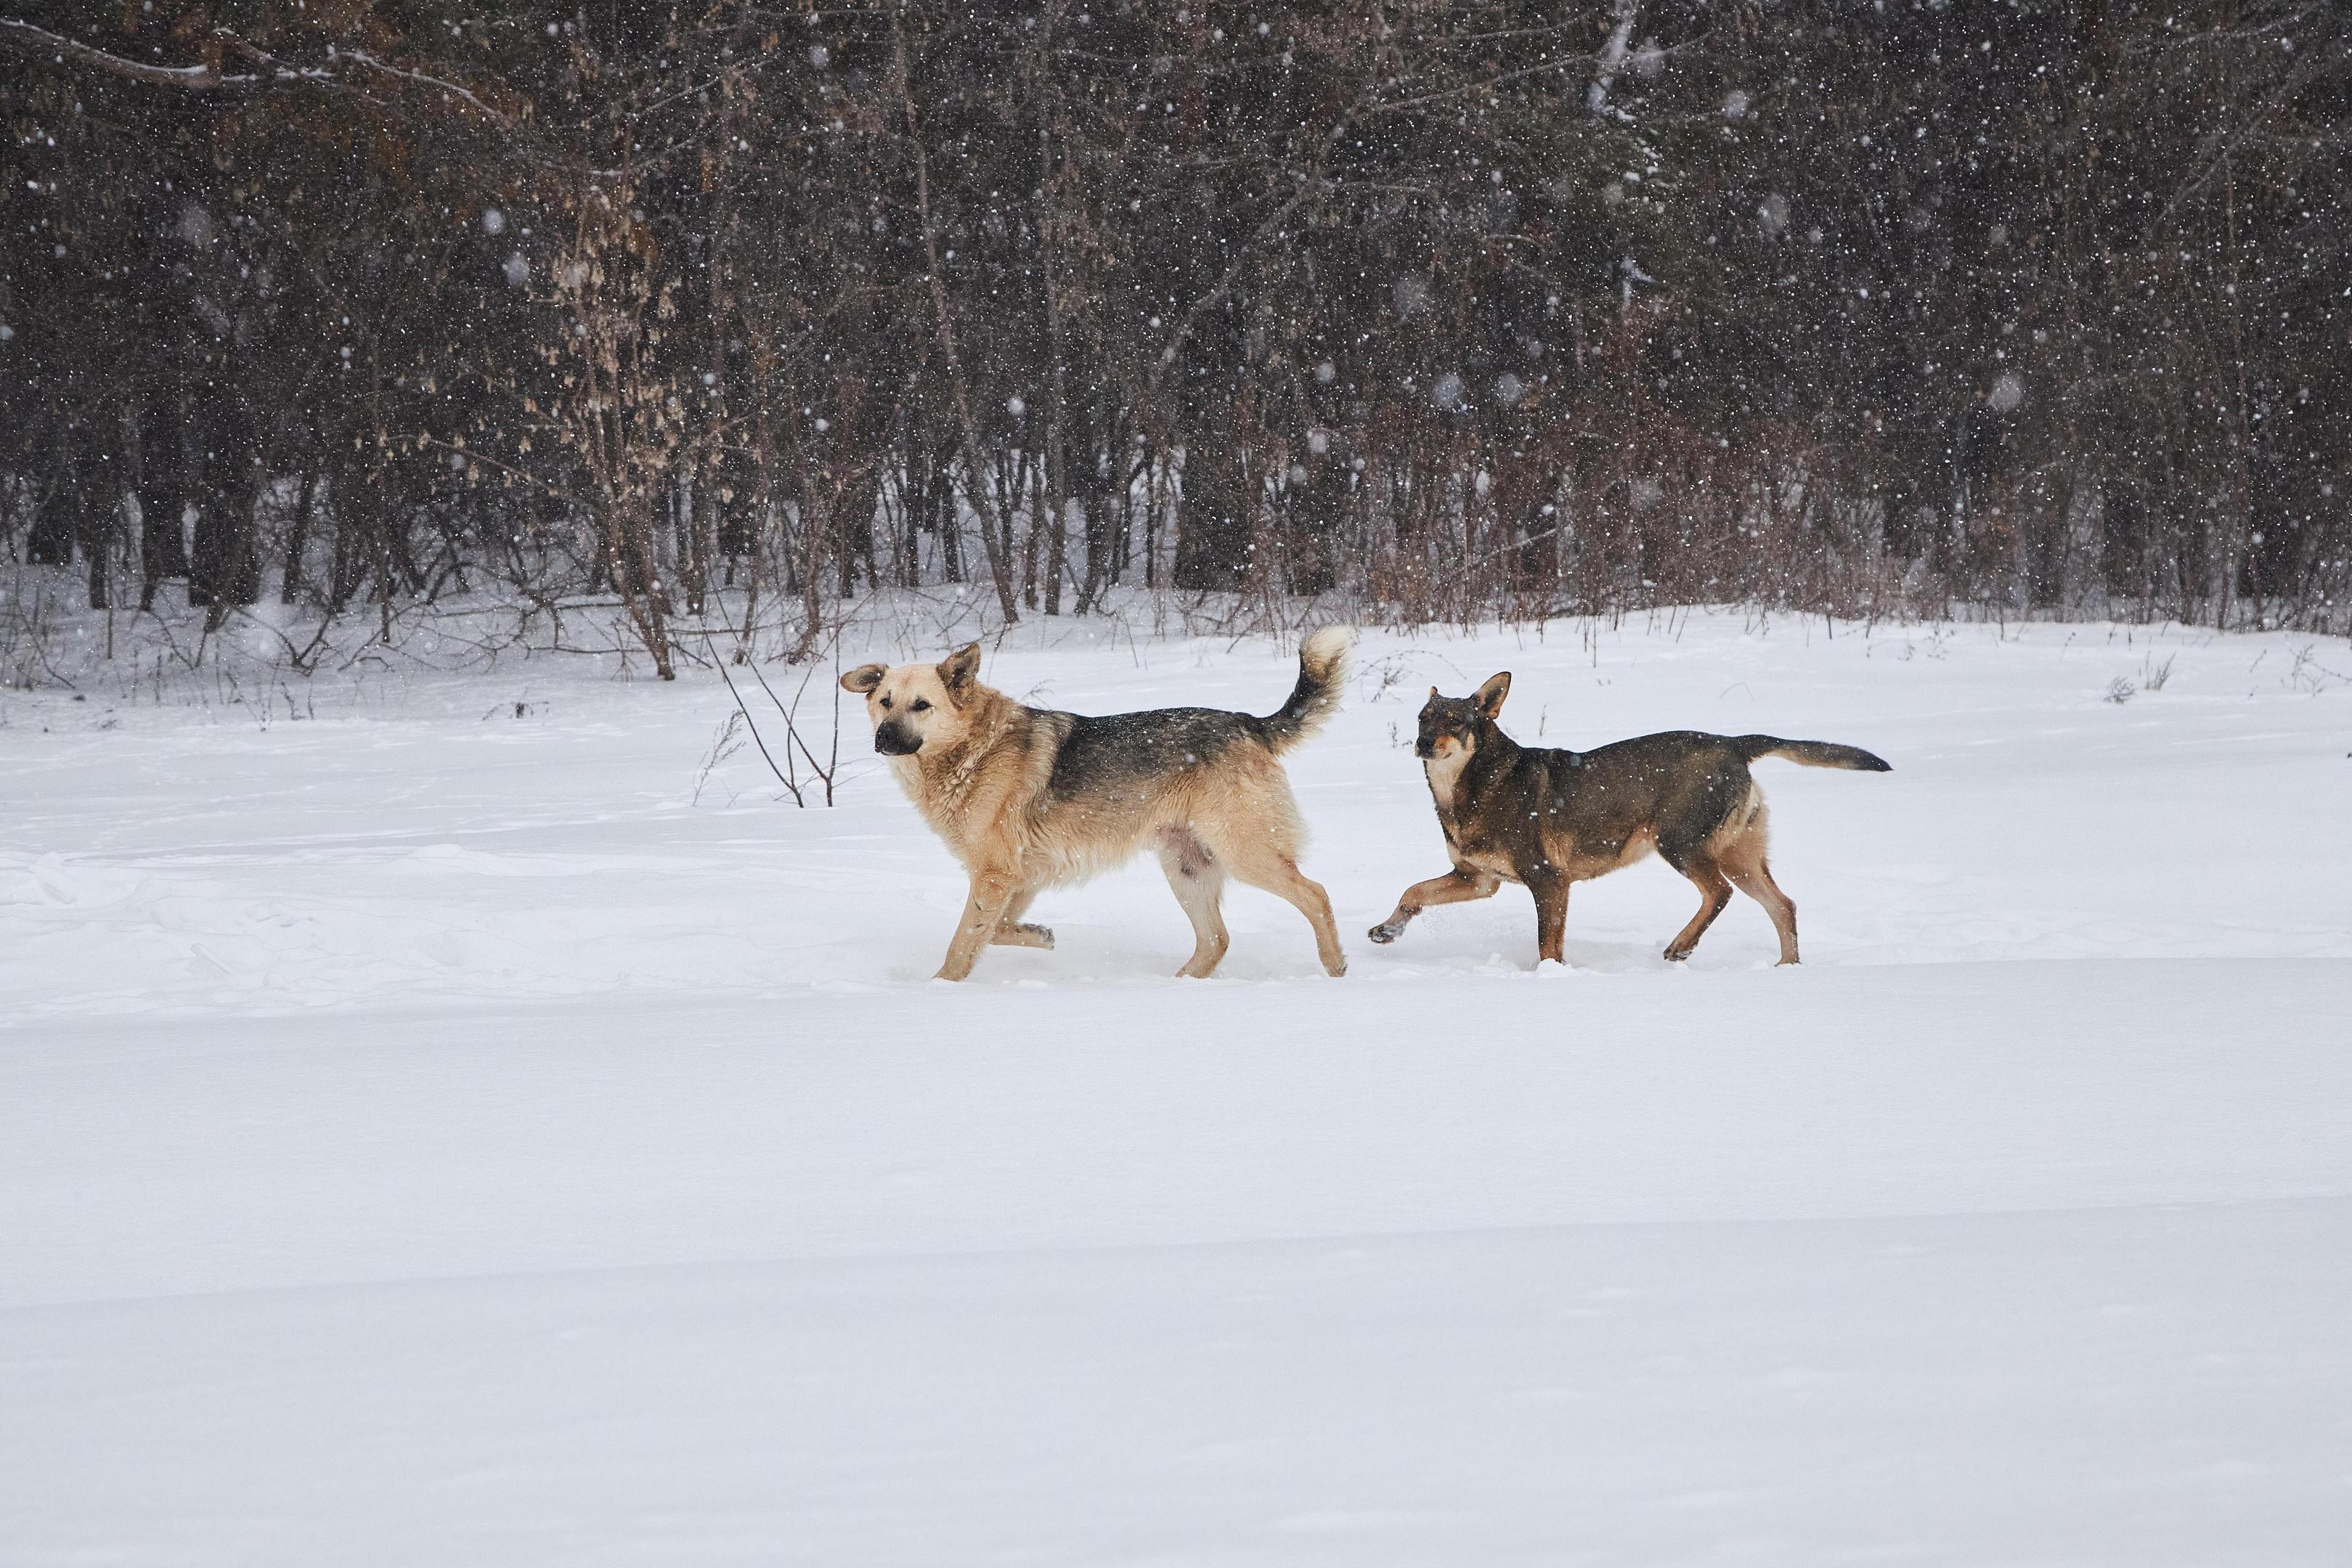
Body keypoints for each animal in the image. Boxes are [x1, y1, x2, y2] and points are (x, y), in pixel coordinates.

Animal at [847, 629, 1364, 982]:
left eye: (922, 706)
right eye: (885, 701)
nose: (884, 738)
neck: (975, 750)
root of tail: (1249, 723)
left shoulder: (994, 876)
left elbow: (963, 943)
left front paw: (939, 990)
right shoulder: (1018, 877)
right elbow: (995, 930)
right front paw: (1040, 936)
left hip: (1245, 853)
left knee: (1316, 895)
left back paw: (1335, 966)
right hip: (1187, 868)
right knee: (1217, 939)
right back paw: (1178, 986)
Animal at [1364, 677, 1891, 968]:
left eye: (1455, 722)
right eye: (1422, 718)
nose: (1422, 744)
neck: (1470, 787)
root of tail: (1733, 743)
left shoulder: (1548, 881)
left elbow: (1547, 947)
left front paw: (1548, 980)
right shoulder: (1477, 880)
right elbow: (1412, 892)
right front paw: (1387, 930)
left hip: (1679, 844)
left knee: (1719, 894)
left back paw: (1681, 946)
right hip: (1738, 855)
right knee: (1783, 906)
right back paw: (1787, 969)